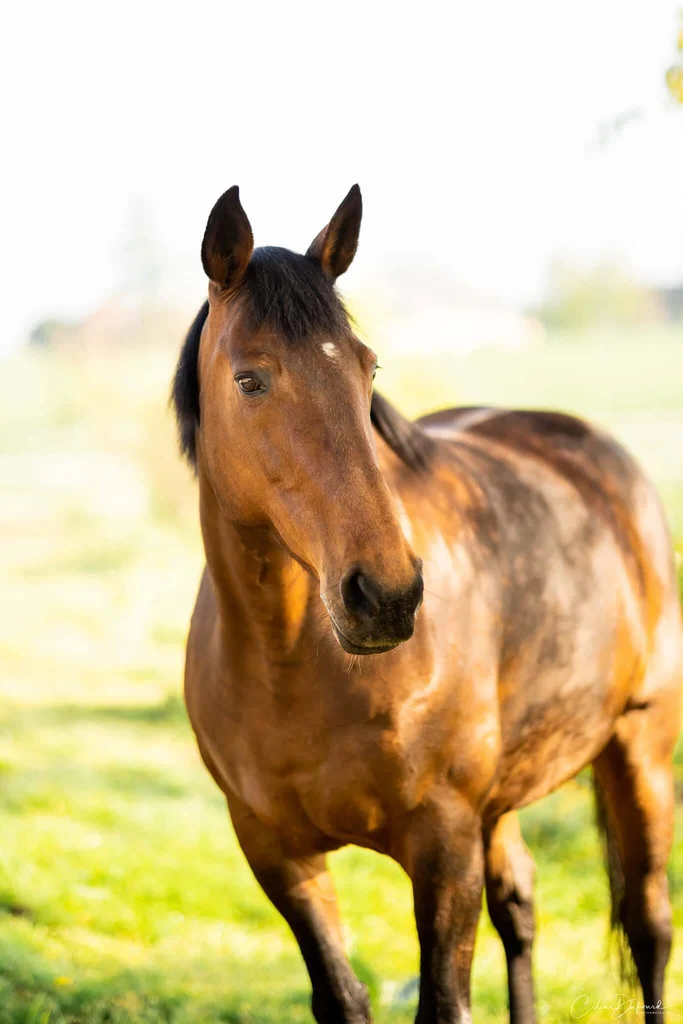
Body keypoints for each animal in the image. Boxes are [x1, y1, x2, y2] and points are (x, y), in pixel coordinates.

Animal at [174, 184, 679, 1024]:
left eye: (367, 368)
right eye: (249, 379)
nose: (385, 595)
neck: (289, 664)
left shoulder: (443, 847)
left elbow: (443, 999)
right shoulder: (276, 852)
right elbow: (342, 997)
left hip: (637, 752)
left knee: (647, 927)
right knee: (521, 906)